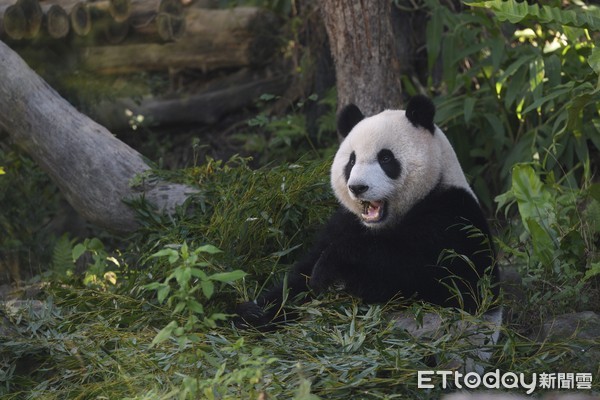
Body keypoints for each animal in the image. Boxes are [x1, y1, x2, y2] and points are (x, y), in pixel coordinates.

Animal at [237, 95, 500, 330]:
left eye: (385, 158)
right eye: (351, 161)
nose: (358, 187)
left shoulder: (453, 217)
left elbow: (448, 282)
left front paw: (333, 265)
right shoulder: (344, 222)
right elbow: (298, 279)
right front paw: (253, 312)